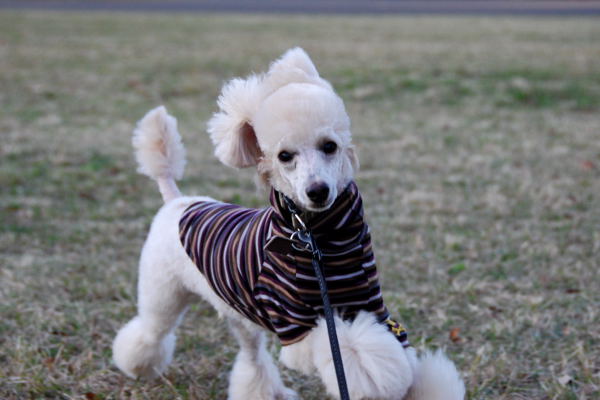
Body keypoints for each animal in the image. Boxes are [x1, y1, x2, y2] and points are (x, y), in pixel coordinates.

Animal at [112, 47, 464, 400]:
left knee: (251, 354)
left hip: (238, 311)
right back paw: (137, 365)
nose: (317, 191)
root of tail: (176, 199)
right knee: (152, 330)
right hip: (162, 291)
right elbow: (349, 348)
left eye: (329, 146)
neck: (318, 238)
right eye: (284, 156)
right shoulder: (296, 322)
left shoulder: (370, 304)